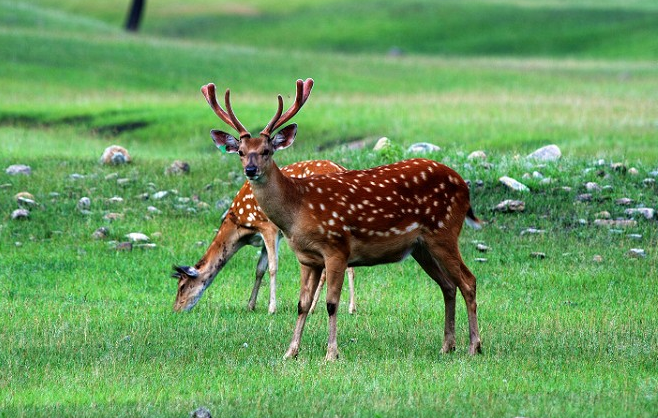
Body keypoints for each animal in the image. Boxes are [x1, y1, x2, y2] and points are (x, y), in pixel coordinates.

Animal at [169, 160, 354, 314]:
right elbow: (259, 269)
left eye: (182, 286)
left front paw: (272, 308)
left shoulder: (268, 227)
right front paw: (250, 305)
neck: (241, 227)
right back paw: (335, 307)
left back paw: (335, 307)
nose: (176, 309)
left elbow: (272, 267)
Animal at [200, 78, 482, 360]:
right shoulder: (307, 258)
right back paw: (447, 345)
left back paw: (474, 346)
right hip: (420, 247)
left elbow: (331, 303)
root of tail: (464, 186)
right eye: (241, 151)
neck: (297, 208)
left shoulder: (336, 247)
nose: (251, 169)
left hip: (443, 232)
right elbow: (302, 304)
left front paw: (331, 354)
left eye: (267, 150)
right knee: (448, 285)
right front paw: (291, 352)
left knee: (468, 281)